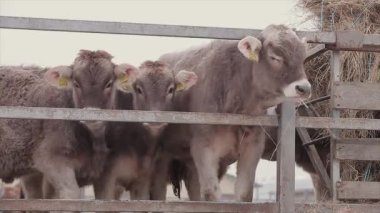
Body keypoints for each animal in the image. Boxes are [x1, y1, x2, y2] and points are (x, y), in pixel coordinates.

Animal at [158, 25, 312, 201]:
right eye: (275, 57)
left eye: (302, 58)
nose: (304, 88)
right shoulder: (203, 147)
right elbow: (211, 194)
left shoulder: (252, 147)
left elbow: (244, 192)